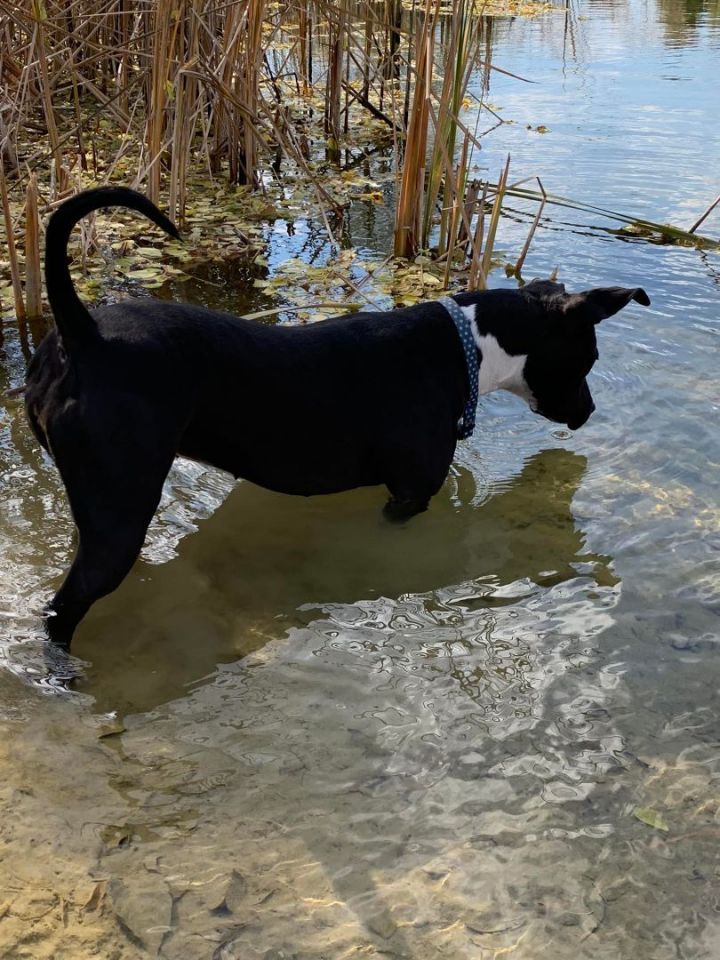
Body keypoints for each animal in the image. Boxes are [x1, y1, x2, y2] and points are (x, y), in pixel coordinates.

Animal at [25, 187, 648, 644]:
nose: (590, 411)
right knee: (64, 608)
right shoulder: (410, 495)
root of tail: (87, 335)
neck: (467, 346)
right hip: (118, 520)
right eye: (589, 359)